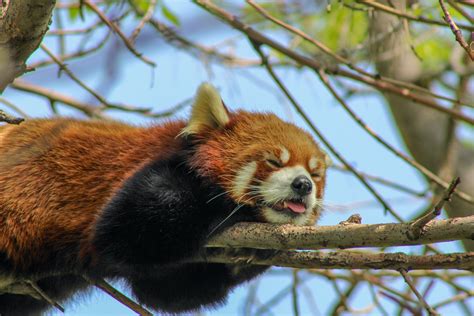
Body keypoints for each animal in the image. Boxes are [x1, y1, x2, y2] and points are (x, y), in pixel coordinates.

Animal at [0, 82, 328, 314]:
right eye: (273, 161)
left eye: (315, 174)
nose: (303, 185)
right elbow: (124, 229)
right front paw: (234, 210)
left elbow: (164, 290)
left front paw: (255, 253)